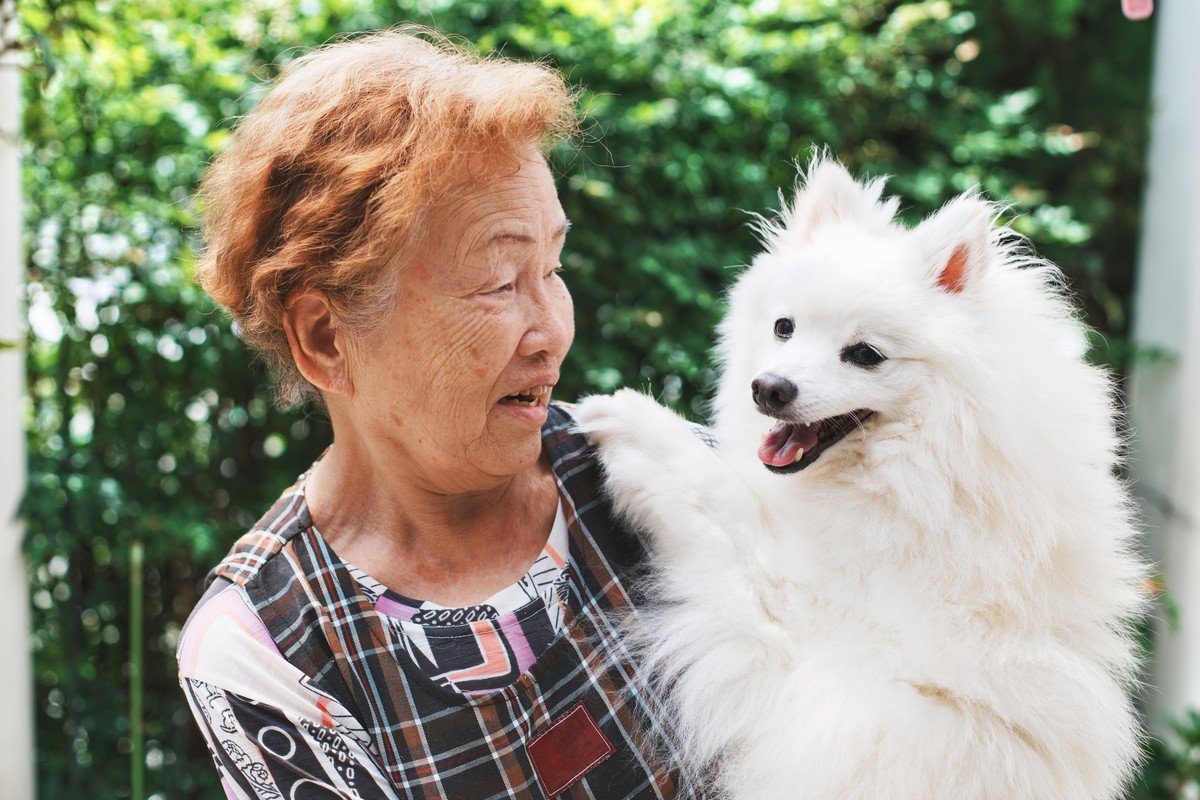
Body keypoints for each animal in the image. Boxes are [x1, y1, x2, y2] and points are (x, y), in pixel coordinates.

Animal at [576, 160, 1147, 800]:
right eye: (784, 327)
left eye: (866, 354)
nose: (768, 388)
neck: (924, 468)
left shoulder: (803, 622)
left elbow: (719, 499)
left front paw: (629, 418)